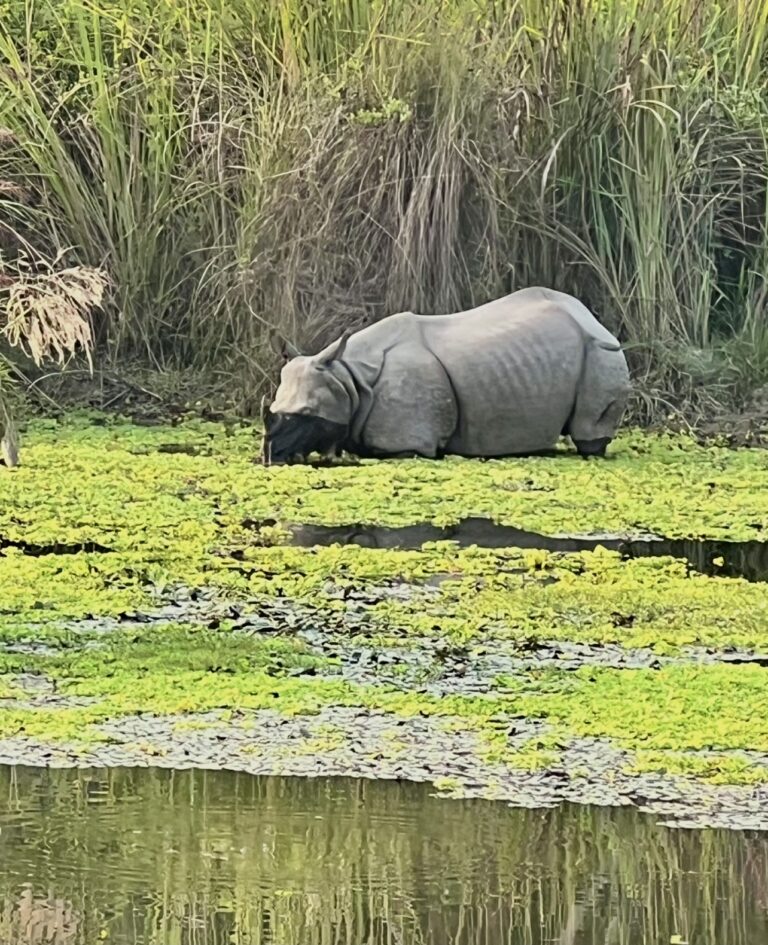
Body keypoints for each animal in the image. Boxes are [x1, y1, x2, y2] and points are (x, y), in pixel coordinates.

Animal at [261, 287, 631, 464]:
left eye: (308, 414)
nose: (269, 456)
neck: (347, 377)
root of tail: (589, 316)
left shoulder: (407, 444)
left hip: (601, 351)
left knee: (589, 435)